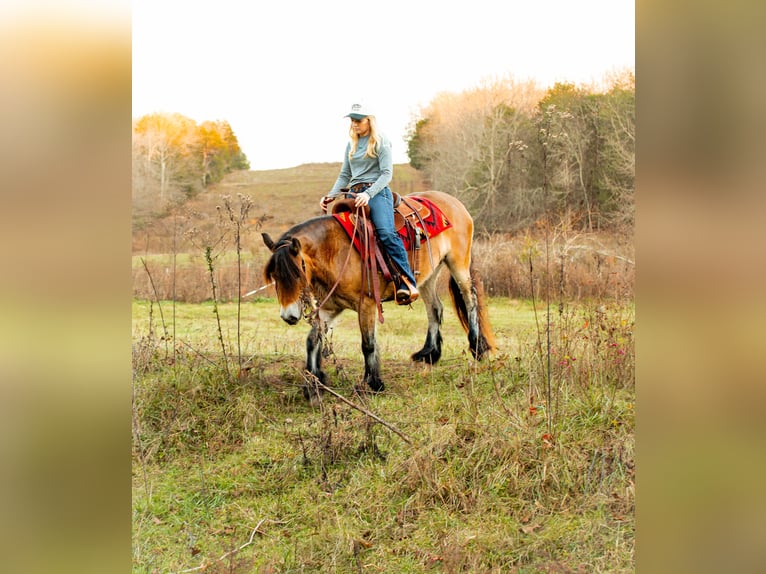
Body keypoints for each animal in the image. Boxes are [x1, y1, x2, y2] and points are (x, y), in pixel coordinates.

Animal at [261, 190, 495, 398]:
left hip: (458, 263)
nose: (288, 316)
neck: (336, 250)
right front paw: (313, 384)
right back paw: (429, 354)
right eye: (274, 276)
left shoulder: (366, 305)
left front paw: (372, 384)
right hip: (428, 275)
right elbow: (312, 339)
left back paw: (477, 348)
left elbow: (368, 344)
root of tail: (455, 203)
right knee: (435, 308)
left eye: (297, 273)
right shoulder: (331, 307)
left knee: (470, 299)